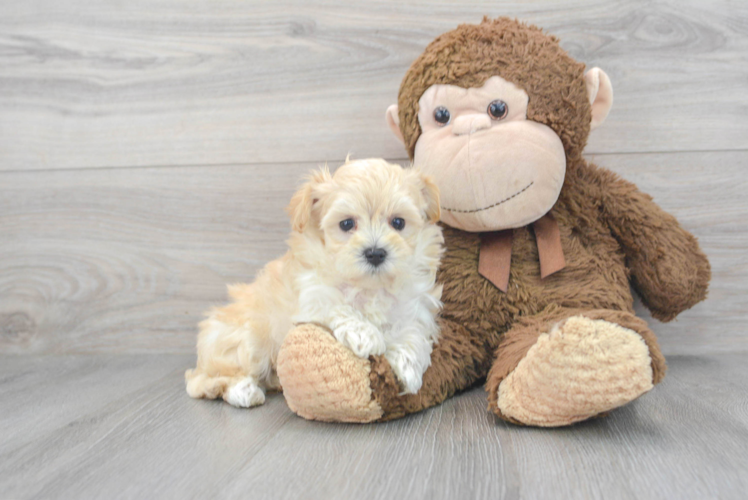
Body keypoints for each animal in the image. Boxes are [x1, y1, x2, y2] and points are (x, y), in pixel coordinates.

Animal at [186, 158, 444, 408]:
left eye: (398, 222)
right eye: (346, 224)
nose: (375, 253)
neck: (369, 286)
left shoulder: (413, 305)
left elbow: (413, 330)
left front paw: (408, 368)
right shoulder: (310, 295)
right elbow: (336, 305)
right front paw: (366, 335)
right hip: (246, 342)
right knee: (203, 381)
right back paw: (243, 391)